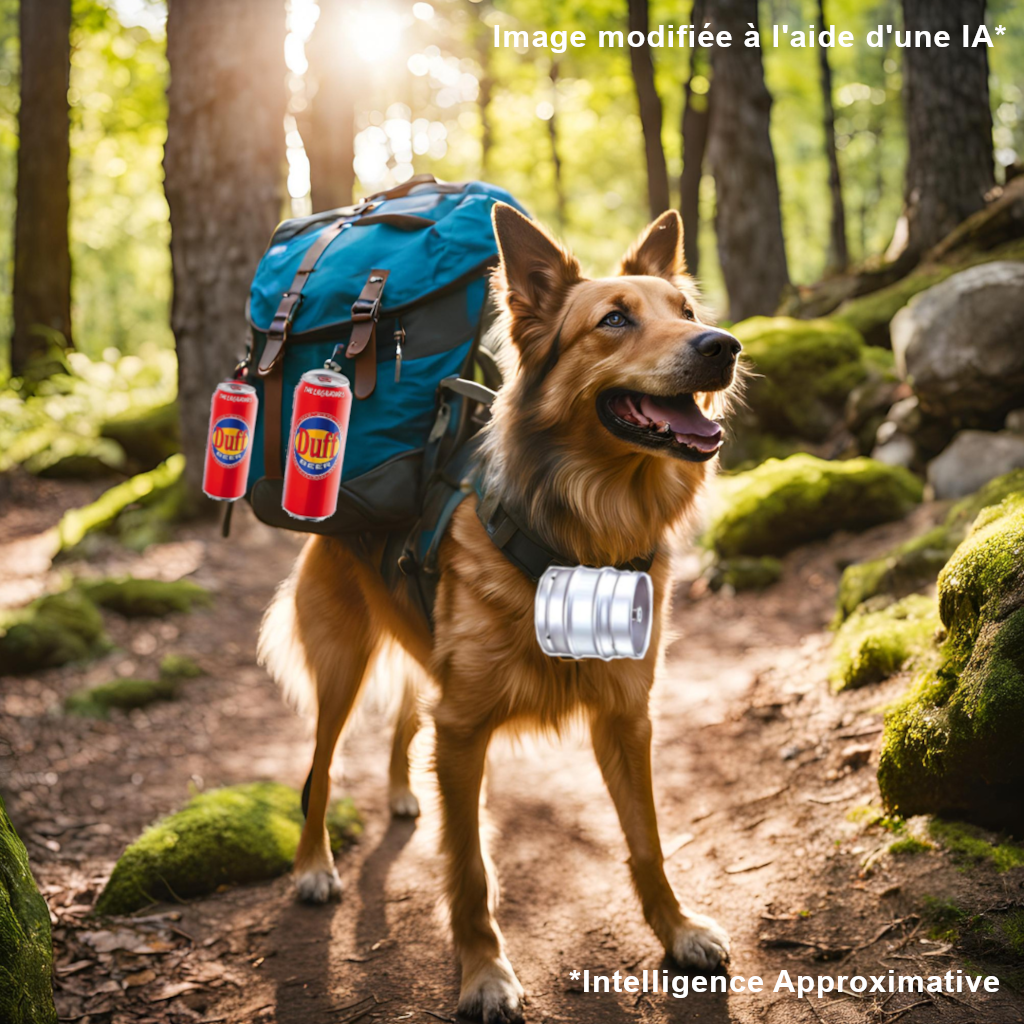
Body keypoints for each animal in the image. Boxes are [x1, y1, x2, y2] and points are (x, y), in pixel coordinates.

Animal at [260, 205, 741, 1024]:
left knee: (404, 719)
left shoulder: (626, 715)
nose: (723, 346)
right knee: (319, 770)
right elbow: (471, 869)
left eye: (686, 313)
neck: (583, 534)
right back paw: (314, 866)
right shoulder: (463, 731)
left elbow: (646, 838)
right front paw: (484, 974)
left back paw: (401, 795)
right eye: (615, 320)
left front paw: (676, 931)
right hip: (341, 669)